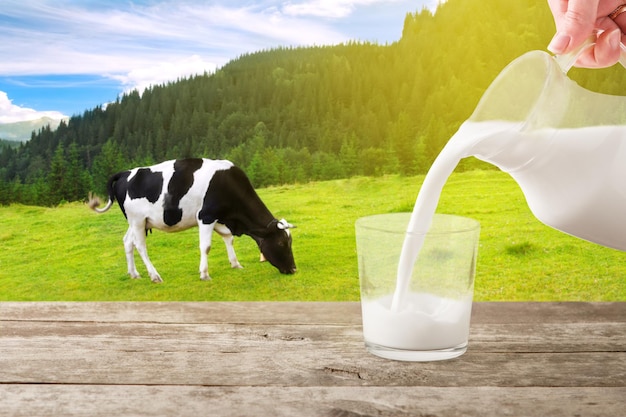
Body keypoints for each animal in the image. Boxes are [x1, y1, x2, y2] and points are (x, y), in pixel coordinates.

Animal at [86, 158, 296, 282]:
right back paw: (154, 275)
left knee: (127, 242)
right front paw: (204, 273)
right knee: (140, 246)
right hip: (137, 220)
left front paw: (236, 264)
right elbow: (206, 246)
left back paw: (134, 274)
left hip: (138, 221)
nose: (293, 269)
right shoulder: (206, 216)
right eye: (281, 243)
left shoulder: (219, 217)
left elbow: (228, 238)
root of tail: (125, 173)